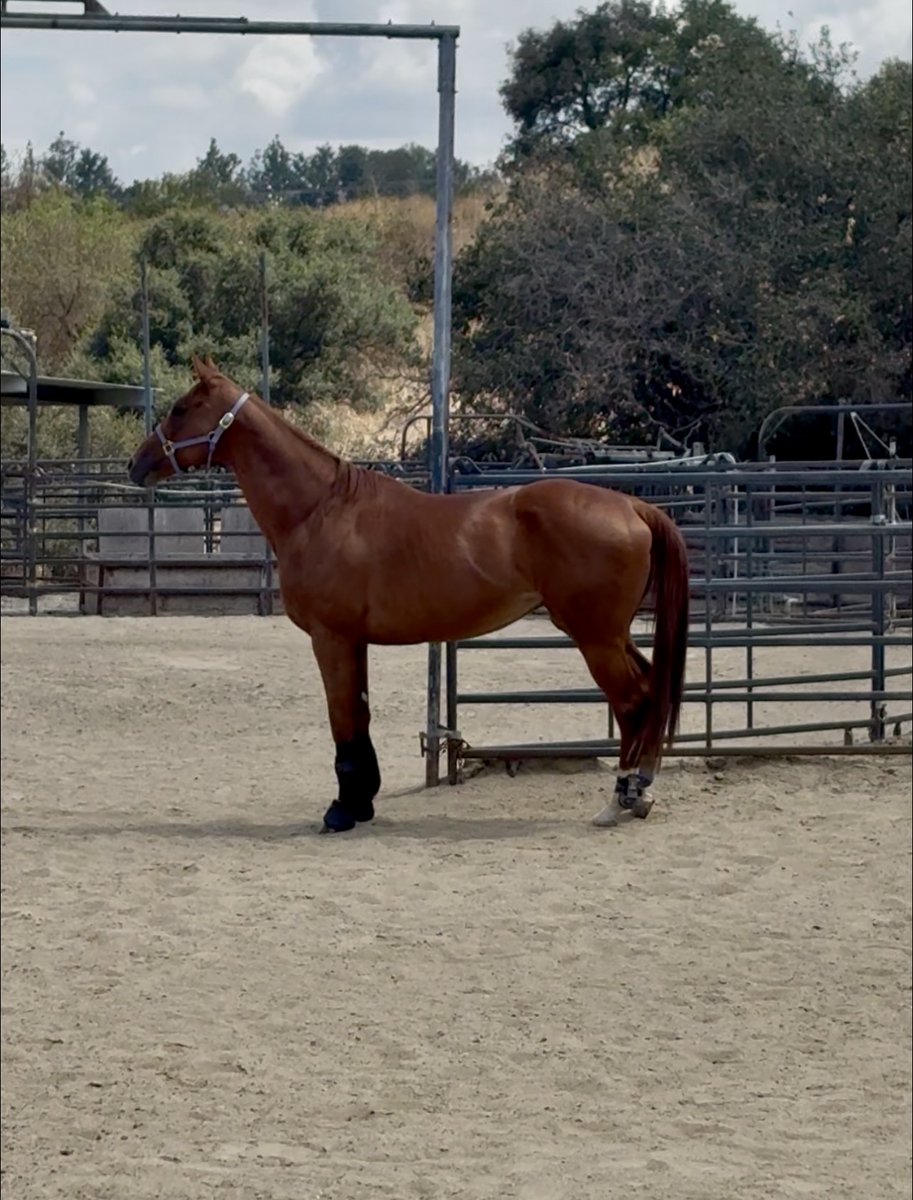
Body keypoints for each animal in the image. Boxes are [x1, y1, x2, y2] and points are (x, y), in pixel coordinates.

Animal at [129, 356, 690, 834]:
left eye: (181, 408)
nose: (138, 464)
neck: (320, 510)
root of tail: (632, 506)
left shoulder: (331, 638)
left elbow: (343, 721)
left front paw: (342, 811)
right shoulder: (353, 641)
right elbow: (357, 717)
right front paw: (361, 802)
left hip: (594, 636)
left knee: (633, 701)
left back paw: (621, 800)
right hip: (611, 635)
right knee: (649, 691)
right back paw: (640, 792)